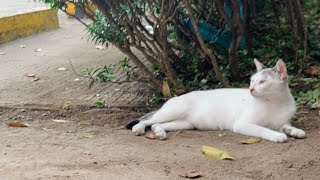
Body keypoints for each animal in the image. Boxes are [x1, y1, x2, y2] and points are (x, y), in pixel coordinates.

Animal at [126, 59, 306, 142]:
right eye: (252, 81)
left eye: (262, 82)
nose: (251, 89)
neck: (275, 102)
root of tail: (174, 97)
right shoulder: (242, 124)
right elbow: (264, 129)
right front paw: (277, 135)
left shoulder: (282, 121)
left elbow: (286, 126)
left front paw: (296, 131)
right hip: (172, 111)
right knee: (149, 120)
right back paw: (138, 128)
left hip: (185, 123)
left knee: (157, 124)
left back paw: (159, 132)